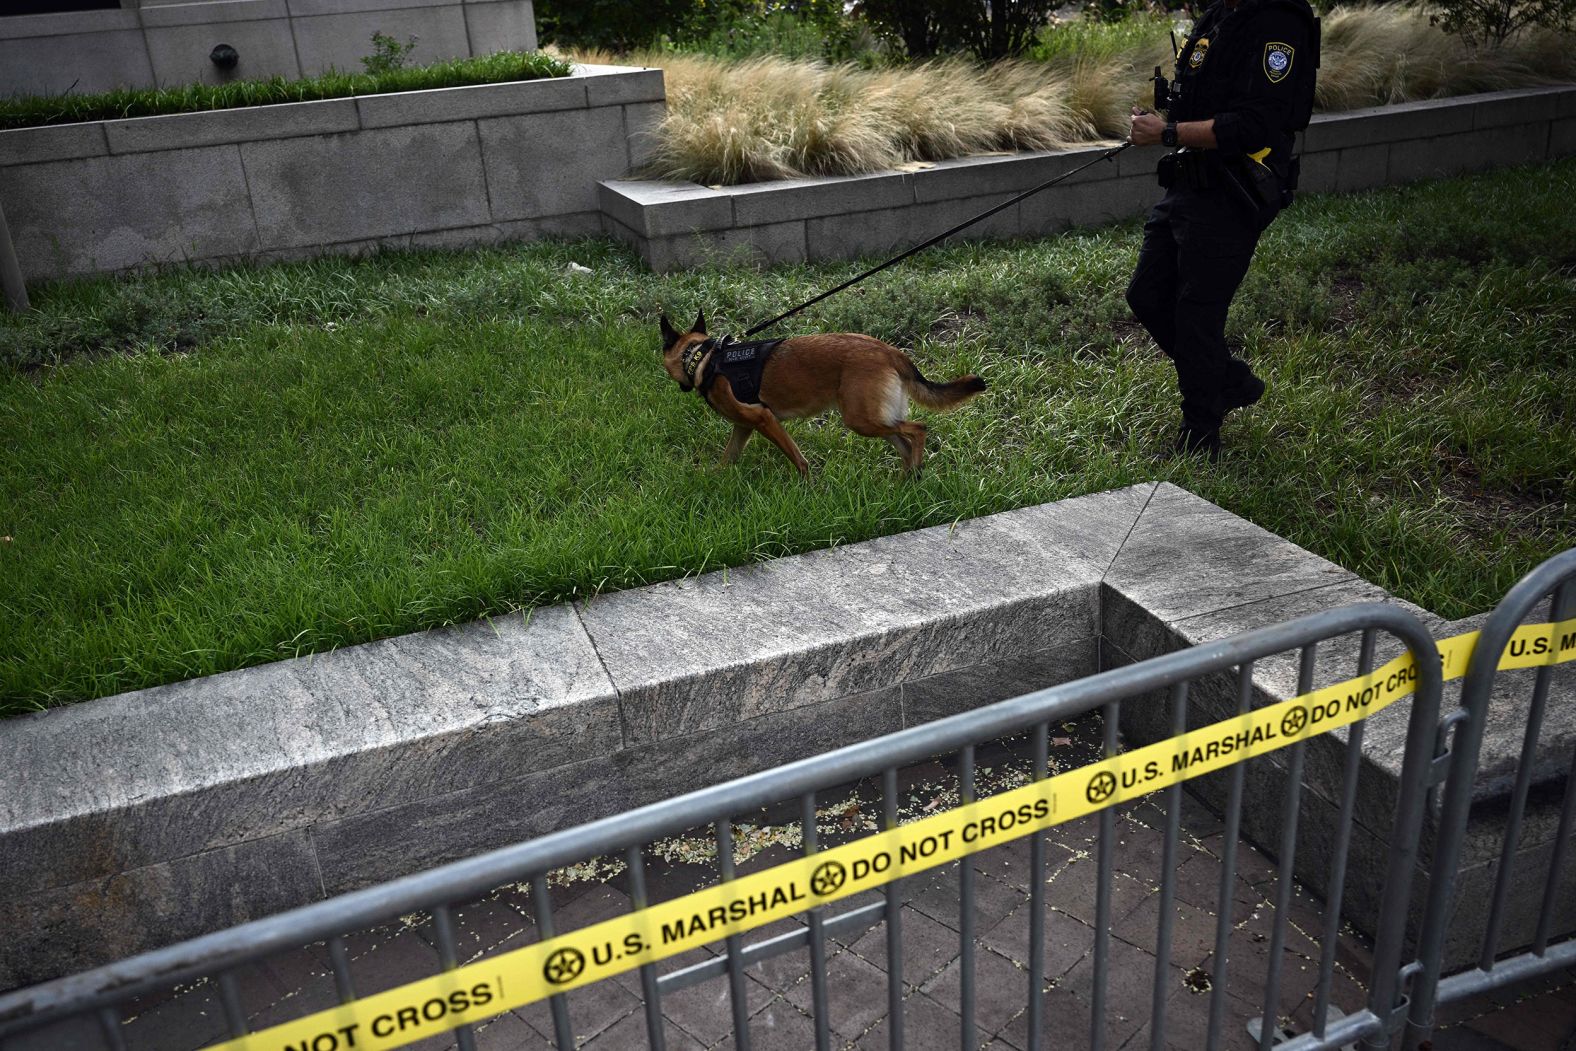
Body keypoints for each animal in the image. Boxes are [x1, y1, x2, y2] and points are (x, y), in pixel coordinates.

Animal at [661, 310, 983, 479]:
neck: (705, 358)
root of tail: (889, 350)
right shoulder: (743, 427)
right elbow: (729, 457)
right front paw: (713, 477)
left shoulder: (764, 419)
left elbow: (797, 458)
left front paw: (807, 485)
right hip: (875, 418)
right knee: (905, 443)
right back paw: (907, 480)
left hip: (860, 419)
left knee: (918, 429)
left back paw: (911, 475)